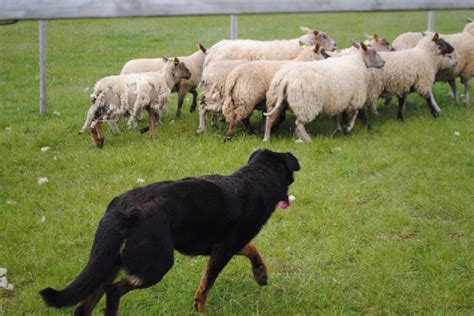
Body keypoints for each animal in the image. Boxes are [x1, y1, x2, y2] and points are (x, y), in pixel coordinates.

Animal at [41, 149, 300, 314]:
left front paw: (260, 273)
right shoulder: (223, 249)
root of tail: (122, 210)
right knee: (113, 292)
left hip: (109, 263)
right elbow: (207, 282)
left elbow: (251, 249)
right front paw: (202, 309)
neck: (254, 179)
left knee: (84, 305)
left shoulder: (223, 245)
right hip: (156, 265)